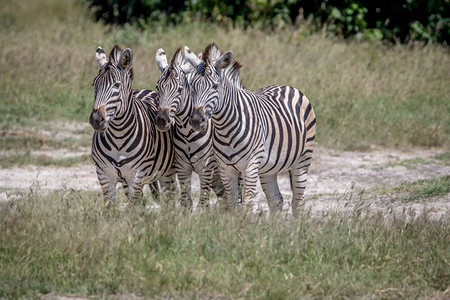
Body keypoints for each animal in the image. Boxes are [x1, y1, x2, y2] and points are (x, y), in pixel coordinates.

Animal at [89, 45, 174, 206]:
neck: (118, 137)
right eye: (94, 84)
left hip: (167, 170)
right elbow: (110, 207)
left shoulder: (136, 175)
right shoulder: (104, 175)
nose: (96, 119)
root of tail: (145, 90)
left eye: (116, 85)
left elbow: (133, 207)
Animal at [155, 47, 225, 209]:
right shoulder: (182, 168)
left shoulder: (206, 169)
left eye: (180, 89)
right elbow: (186, 201)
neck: (187, 133)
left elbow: (203, 203)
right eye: (157, 87)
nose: (161, 120)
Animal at [185, 42, 314, 216]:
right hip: (268, 169)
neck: (225, 128)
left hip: (302, 161)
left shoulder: (250, 166)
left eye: (215, 86)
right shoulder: (225, 169)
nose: (196, 121)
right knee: (276, 200)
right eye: (192, 86)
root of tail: (286, 86)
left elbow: (246, 205)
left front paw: (244, 224)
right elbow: (232, 204)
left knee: (297, 203)